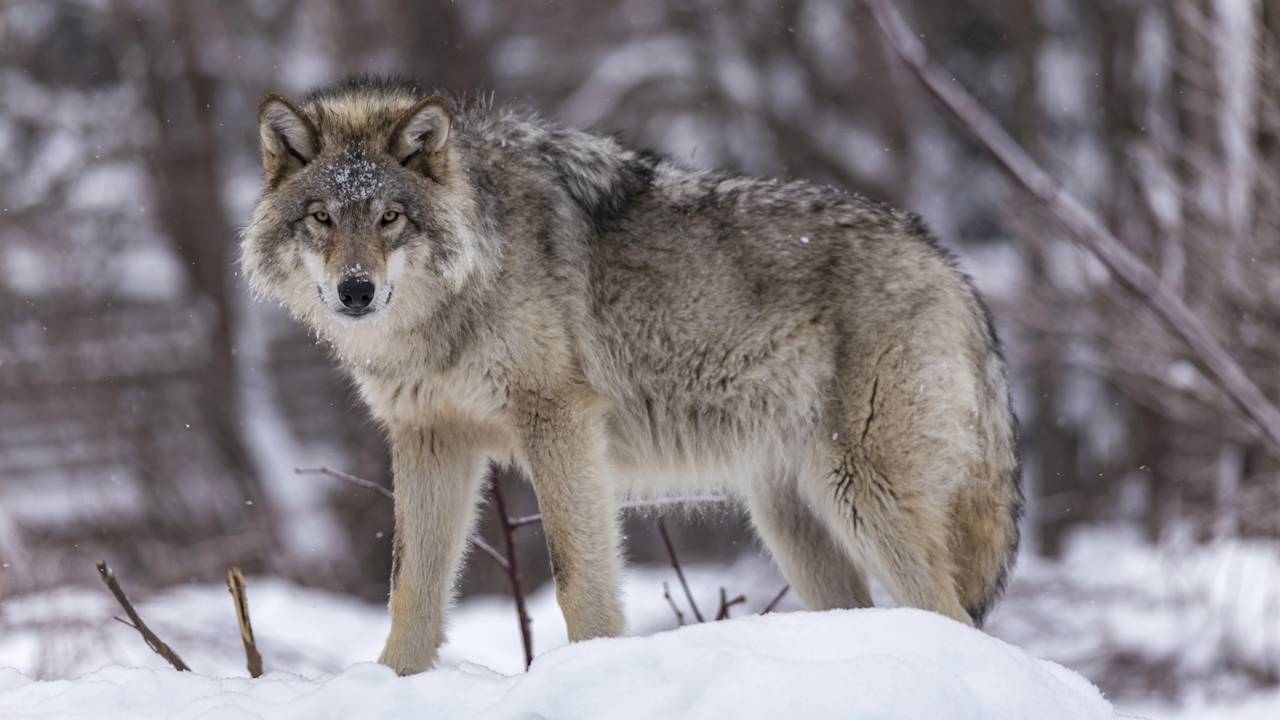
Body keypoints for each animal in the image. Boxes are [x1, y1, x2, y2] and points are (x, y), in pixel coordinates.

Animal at [242, 76, 1022, 675]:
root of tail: (951, 267)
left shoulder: (558, 420)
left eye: (390, 218)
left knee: (953, 615)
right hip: (793, 519)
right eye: (322, 218)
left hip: (863, 496)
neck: (455, 299)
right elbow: (412, 590)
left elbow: (576, 577)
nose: (356, 291)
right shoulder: (430, 438)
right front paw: (392, 682)